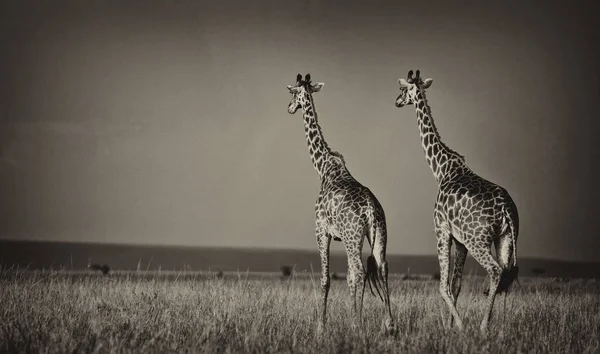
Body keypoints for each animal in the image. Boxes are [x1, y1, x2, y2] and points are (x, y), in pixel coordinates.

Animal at [288, 73, 396, 334]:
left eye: (292, 92)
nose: (289, 108)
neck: (323, 167)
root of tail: (370, 210)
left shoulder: (321, 231)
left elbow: (326, 279)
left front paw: (321, 325)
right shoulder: (342, 237)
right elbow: (347, 278)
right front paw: (349, 317)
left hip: (352, 235)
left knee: (359, 270)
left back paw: (359, 324)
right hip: (378, 233)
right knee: (381, 267)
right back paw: (389, 324)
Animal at [394, 69, 520, 332]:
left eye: (402, 89)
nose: (397, 101)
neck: (441, 169)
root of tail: (506, 209)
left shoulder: (441, 229)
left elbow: (444, 287)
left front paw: (458, 326)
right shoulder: (460, 240)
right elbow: (456, 286)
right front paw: (451, 325)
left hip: (478, 240)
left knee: (495, 271)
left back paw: (482, 326)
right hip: (505, 239)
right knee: (505, 274)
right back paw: (498, 325)